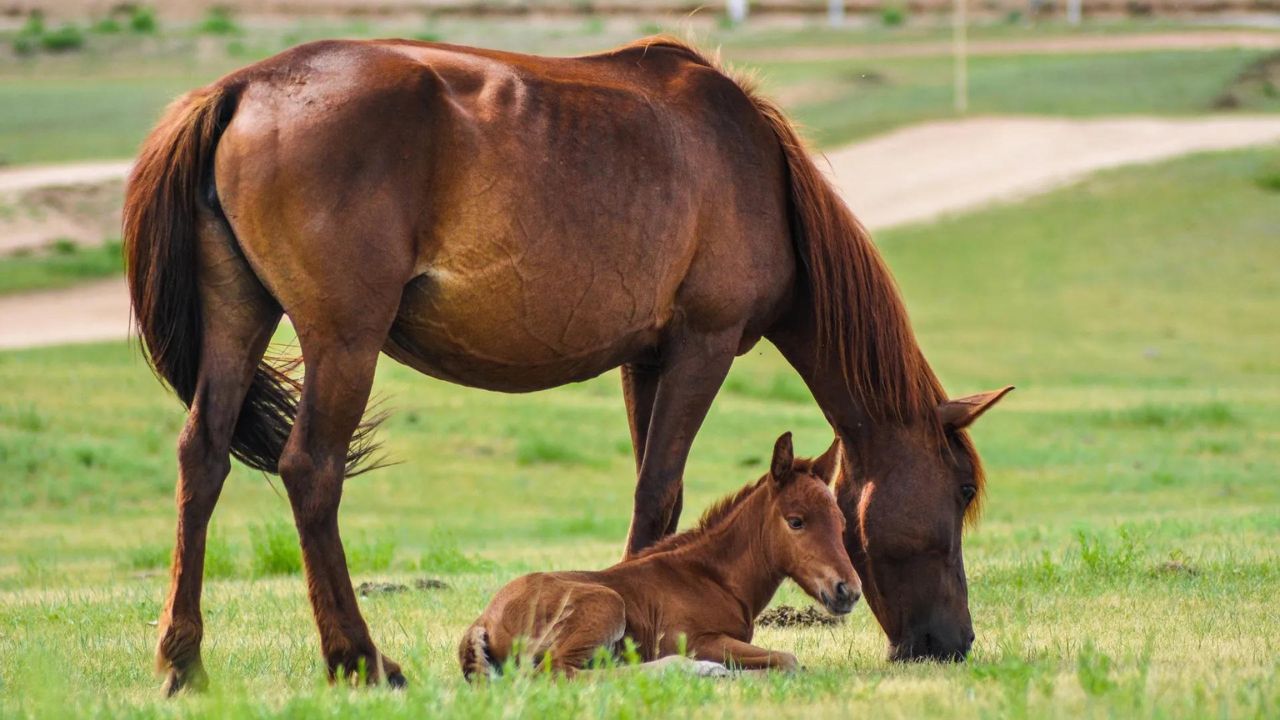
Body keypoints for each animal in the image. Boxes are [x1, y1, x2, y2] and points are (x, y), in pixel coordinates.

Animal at [460, 430, 860, 676]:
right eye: (796, 521)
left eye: (841, 521)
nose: (849, 591)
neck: (713, 578)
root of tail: (483, 620)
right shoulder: (695, 640)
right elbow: (787, 660)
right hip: (605, 605)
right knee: (560, 673)